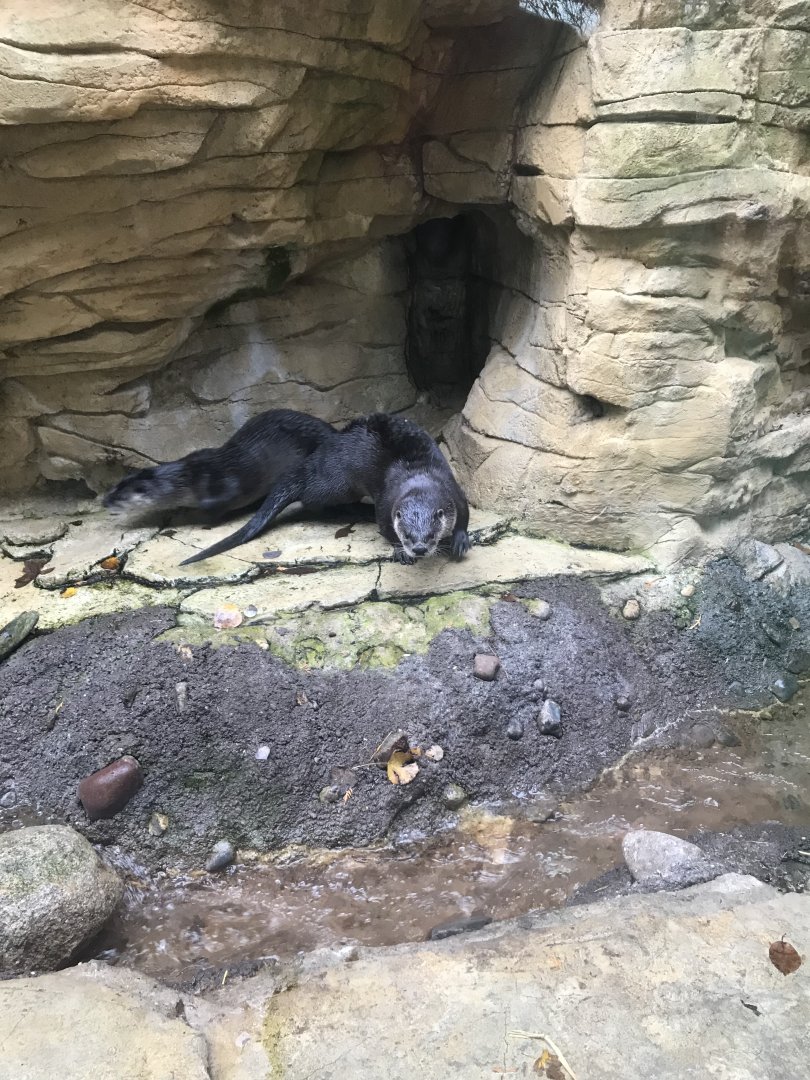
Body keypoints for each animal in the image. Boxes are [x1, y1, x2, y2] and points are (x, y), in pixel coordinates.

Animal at [103, 410, 470, 566]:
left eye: (430, 535)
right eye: (408, 534)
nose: (419, 549)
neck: (418, 477)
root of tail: (310, 466)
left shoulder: (453, 490)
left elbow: (464, 515)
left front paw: (460, 541)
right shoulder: (387, 505)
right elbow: (383, 526)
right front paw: (399, 552)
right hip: (337, 483)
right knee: (314, 503)